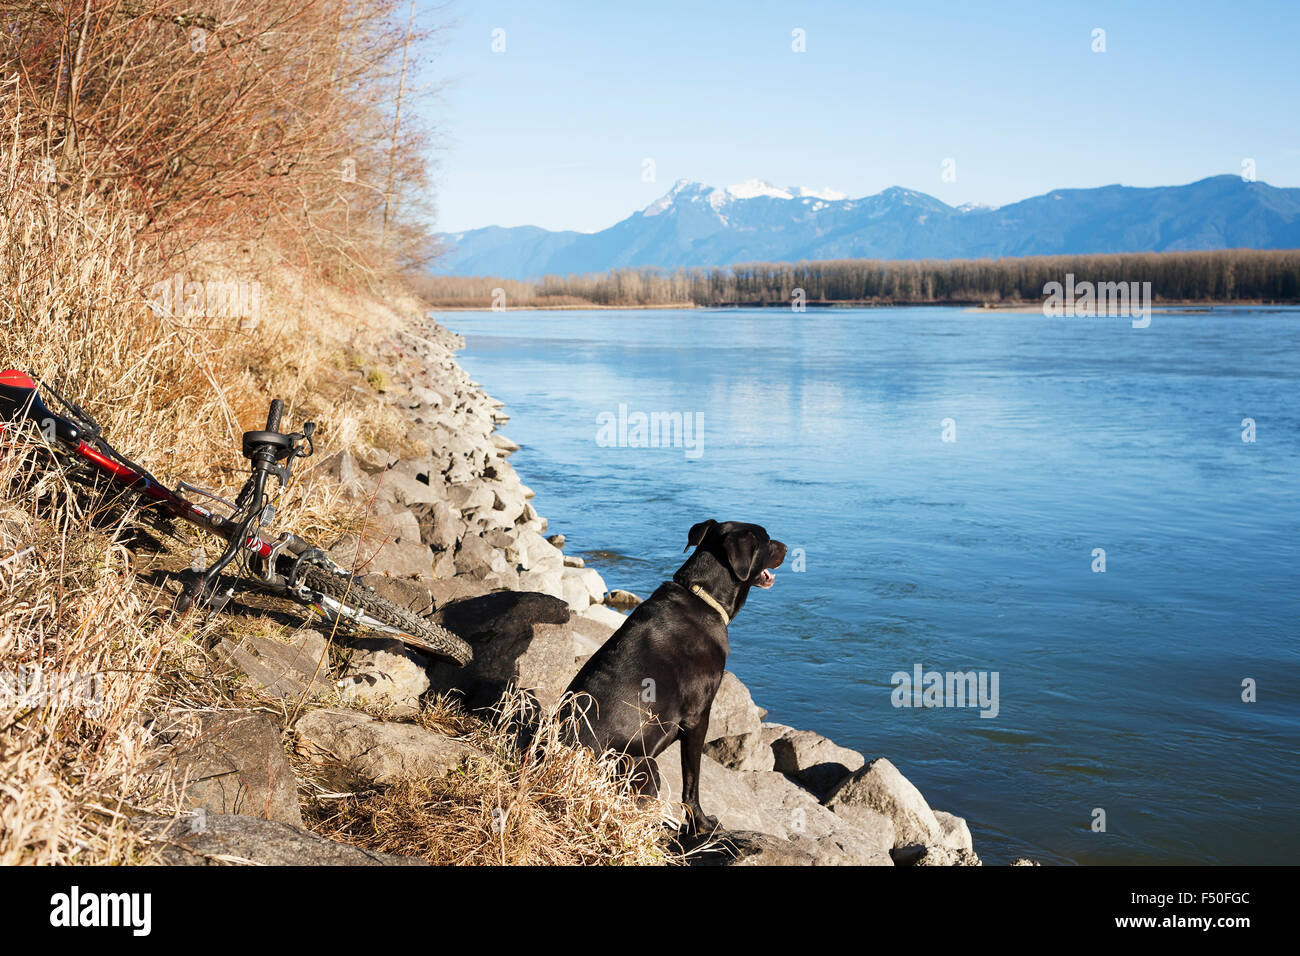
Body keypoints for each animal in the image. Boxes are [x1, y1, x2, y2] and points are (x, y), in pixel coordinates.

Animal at [566, 520, 785, 832]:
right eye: (767, 540)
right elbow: (691, 782)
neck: (702, 596)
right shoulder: (698, 718)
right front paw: (701, 823)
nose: (787, 547)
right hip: (643, 767)